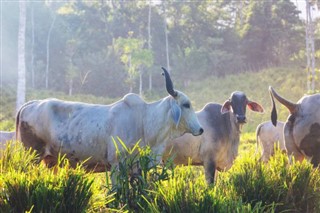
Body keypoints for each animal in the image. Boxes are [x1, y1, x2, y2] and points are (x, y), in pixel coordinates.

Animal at [15, 67, 202, 174]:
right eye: (186, 104)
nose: (201, 129)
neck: (144, 121)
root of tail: (31, 103)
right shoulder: (117, 164)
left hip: (50, 162)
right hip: (32, 157)